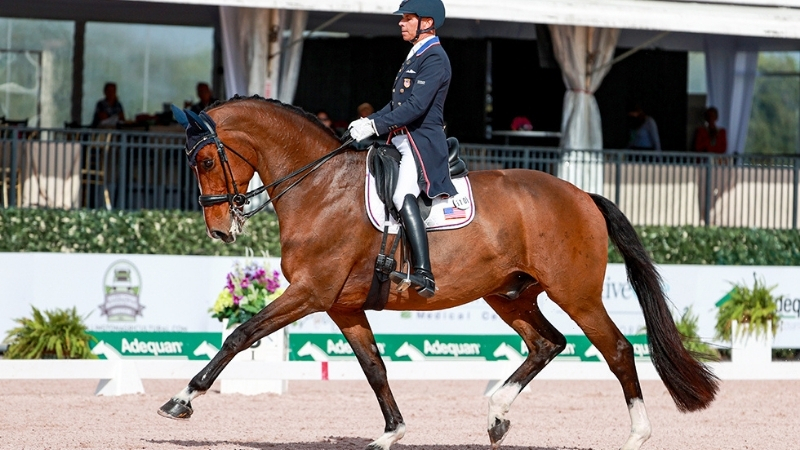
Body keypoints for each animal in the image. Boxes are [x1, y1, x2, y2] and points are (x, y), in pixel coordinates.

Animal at [157, 95, 718, 450]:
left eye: (205, 161)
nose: (220, 230)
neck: (319, 186)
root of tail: (582, 194)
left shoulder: (310, 291)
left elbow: (241, 333)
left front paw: (181, 400)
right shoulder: (342, 305)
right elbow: (374, 367)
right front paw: (392, 432)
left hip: (575, 292)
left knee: (617, 349)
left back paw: (636, 436)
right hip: (510, 294)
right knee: (547, 343)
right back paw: (496, 415)